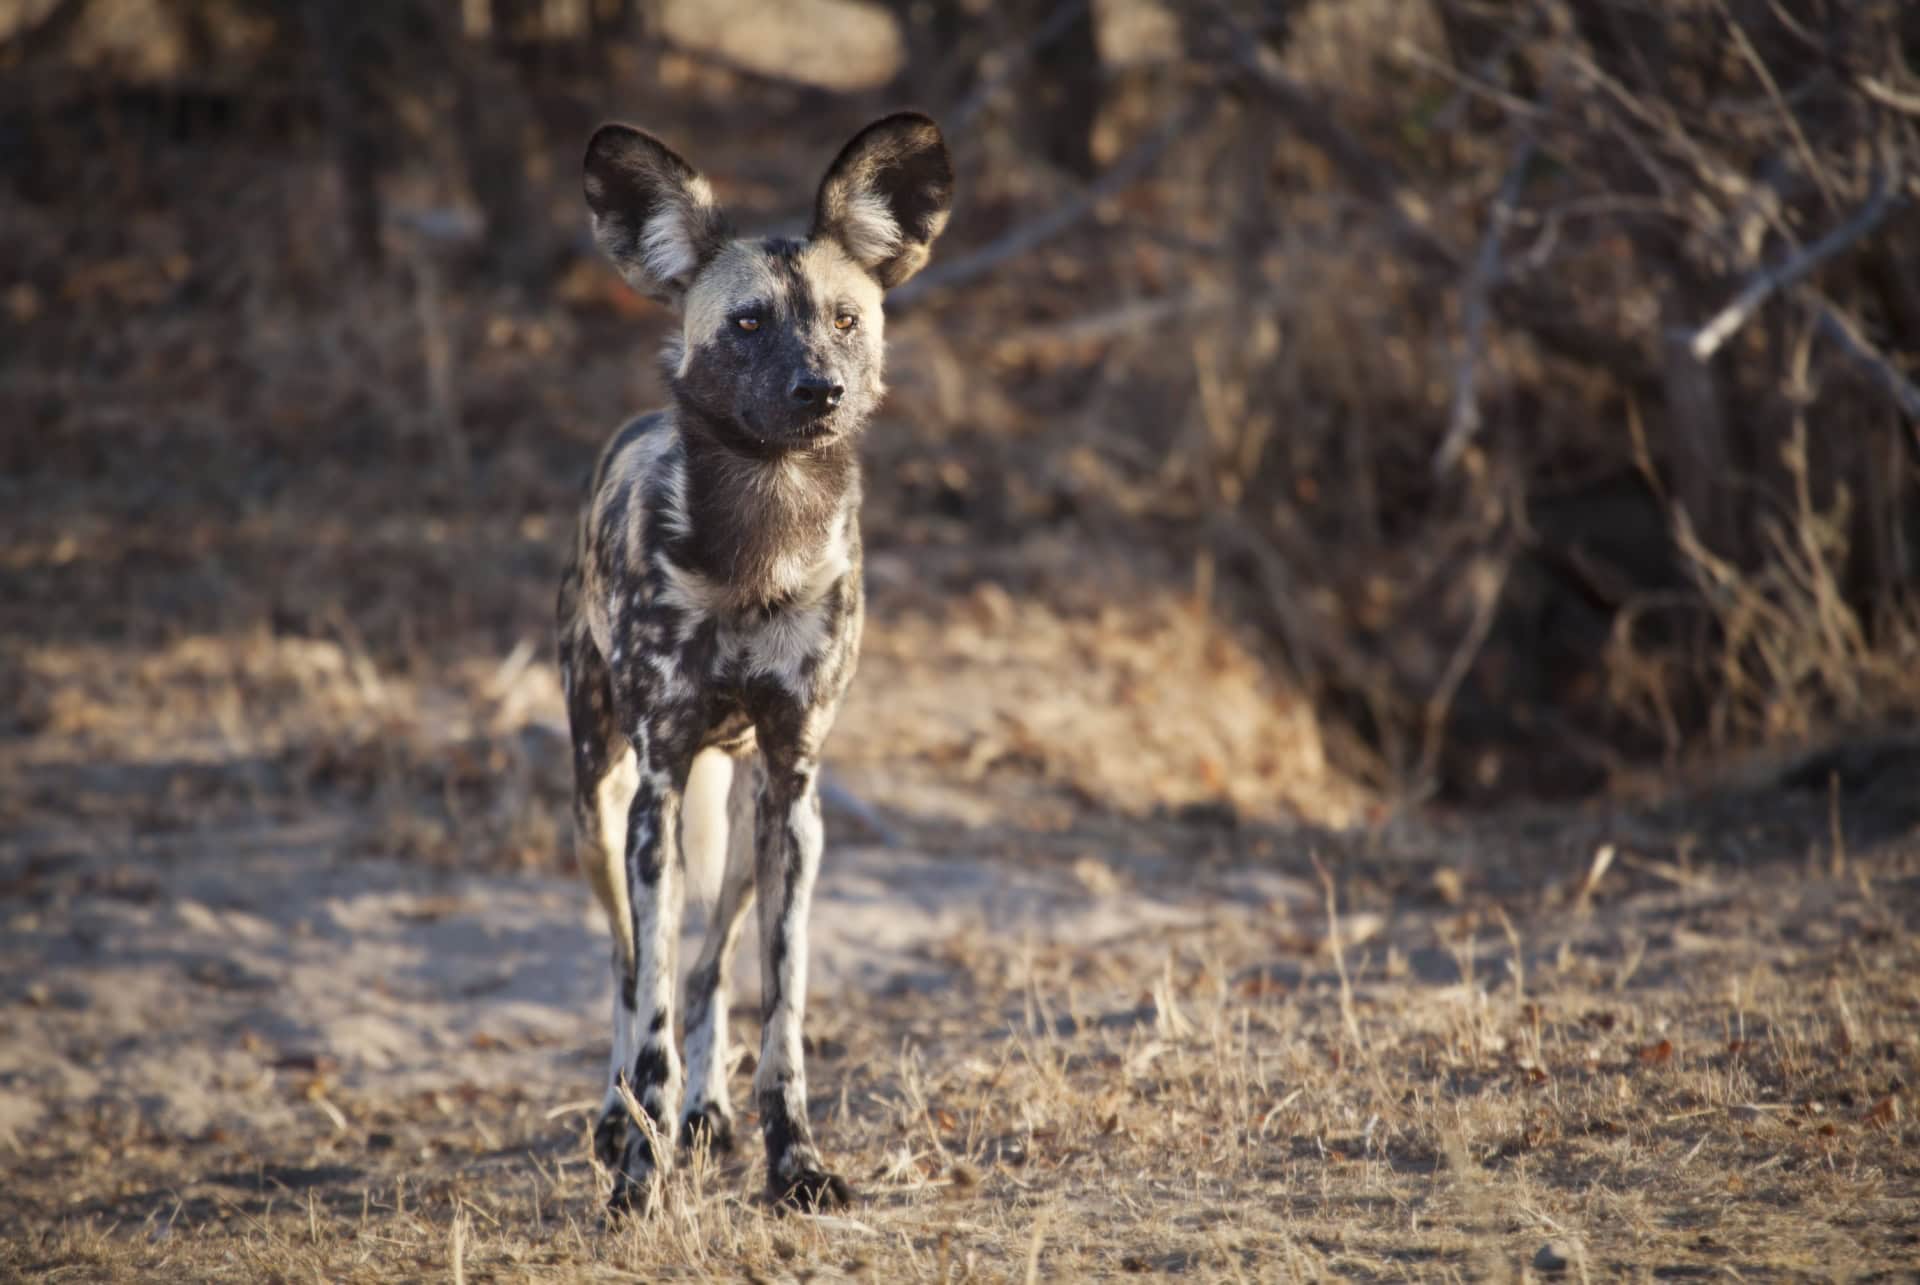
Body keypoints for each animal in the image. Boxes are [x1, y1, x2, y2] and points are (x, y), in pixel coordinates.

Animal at [556, 115, 952, 1206]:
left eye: (847, 320)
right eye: (745, 324)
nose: (820, 390)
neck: (762, 540)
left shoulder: (794, 787)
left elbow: (779, 1006)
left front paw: (795, 1158)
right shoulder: (654, 789)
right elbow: (649, 1002)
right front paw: (640, 1180)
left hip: (740, 813)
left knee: (711, 967)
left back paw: (706, 1113)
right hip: (600, 803)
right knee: (627, 968)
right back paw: (624, 1118)